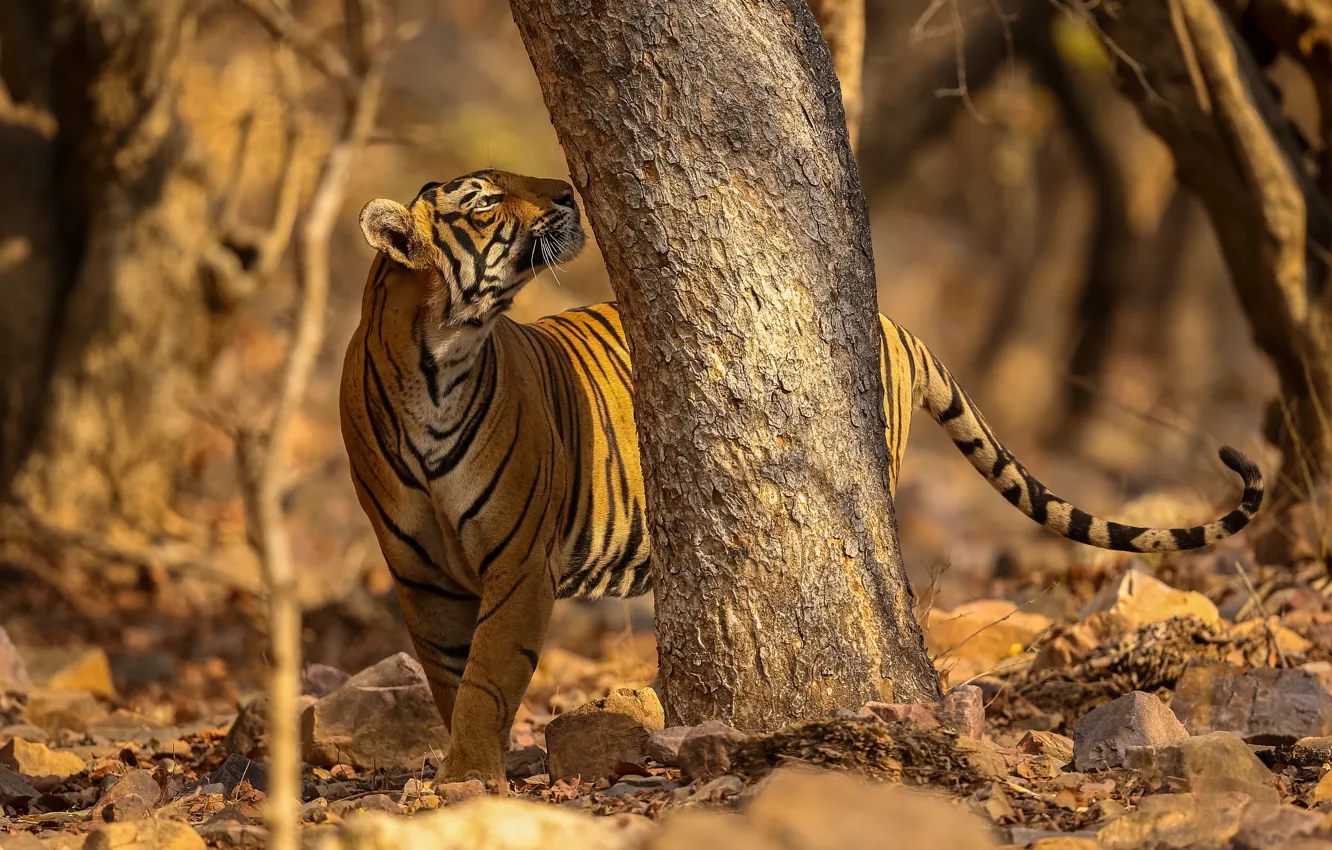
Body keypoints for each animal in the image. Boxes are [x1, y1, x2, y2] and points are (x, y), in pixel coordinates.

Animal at [339, 169, 1264, 786]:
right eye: (484, 202)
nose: (568, 191)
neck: (438, 361)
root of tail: (891, 321)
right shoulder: (419, 570)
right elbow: (451, 673)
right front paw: (466, 766)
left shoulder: (519, 560)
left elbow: (490, 673)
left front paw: (470, 775)